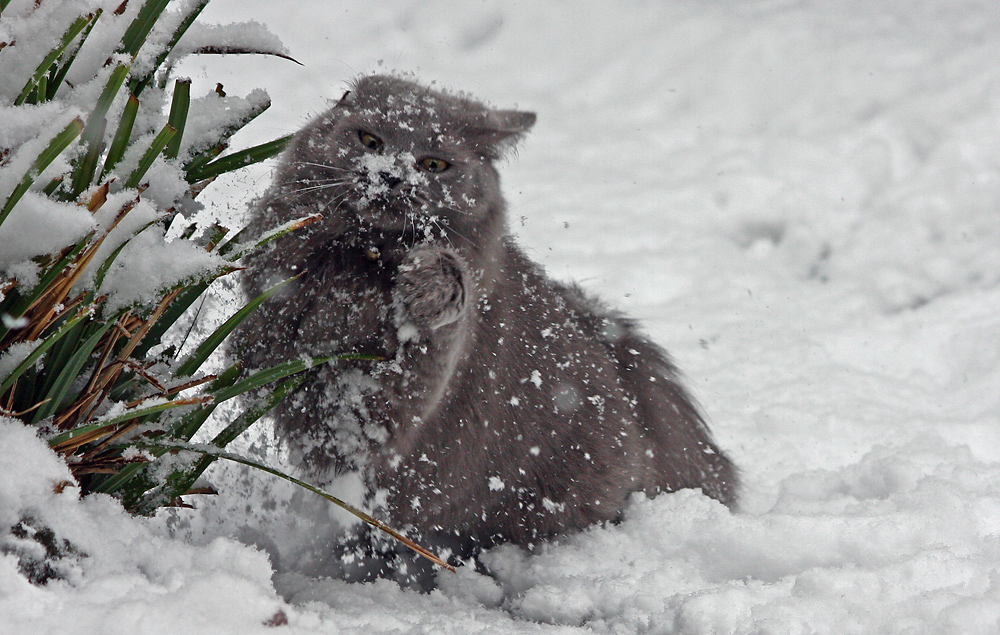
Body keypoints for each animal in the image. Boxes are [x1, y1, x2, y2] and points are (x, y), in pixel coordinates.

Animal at [232, 76, 736, 580]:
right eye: (370, 141)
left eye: (434, 164)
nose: (392, 176)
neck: (363, 259)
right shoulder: (272, 314)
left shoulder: (395, 400)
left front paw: (424, 281)